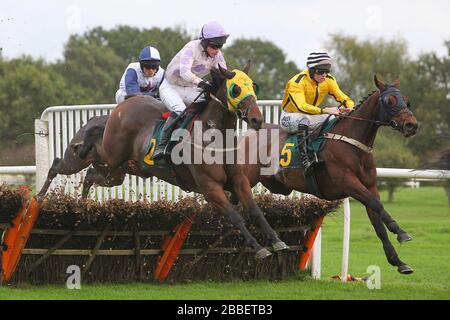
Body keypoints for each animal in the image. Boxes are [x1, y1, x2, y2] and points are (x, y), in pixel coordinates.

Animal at [100, 66, 288, 258]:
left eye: (252, 86)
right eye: (236, 89)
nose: (257, 119)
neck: (215, 138)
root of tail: (126, 103)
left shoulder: (238, 180)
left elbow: (255, 211)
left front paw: (277, 241)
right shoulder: (210, 187)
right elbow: (235, 216)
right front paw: (258, 248)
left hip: (138, 166)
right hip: (112, 156)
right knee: (98, 159)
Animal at [236, 75, 418, 272]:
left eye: (406, 100)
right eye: (389, 101)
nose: (412, 125)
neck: (352, 143)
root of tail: (247, 135)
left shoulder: (370, 187)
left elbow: (378, 222)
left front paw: (399, 262)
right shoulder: (348, 183)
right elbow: (377, 204)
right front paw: (401, 232)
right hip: (245, 179)